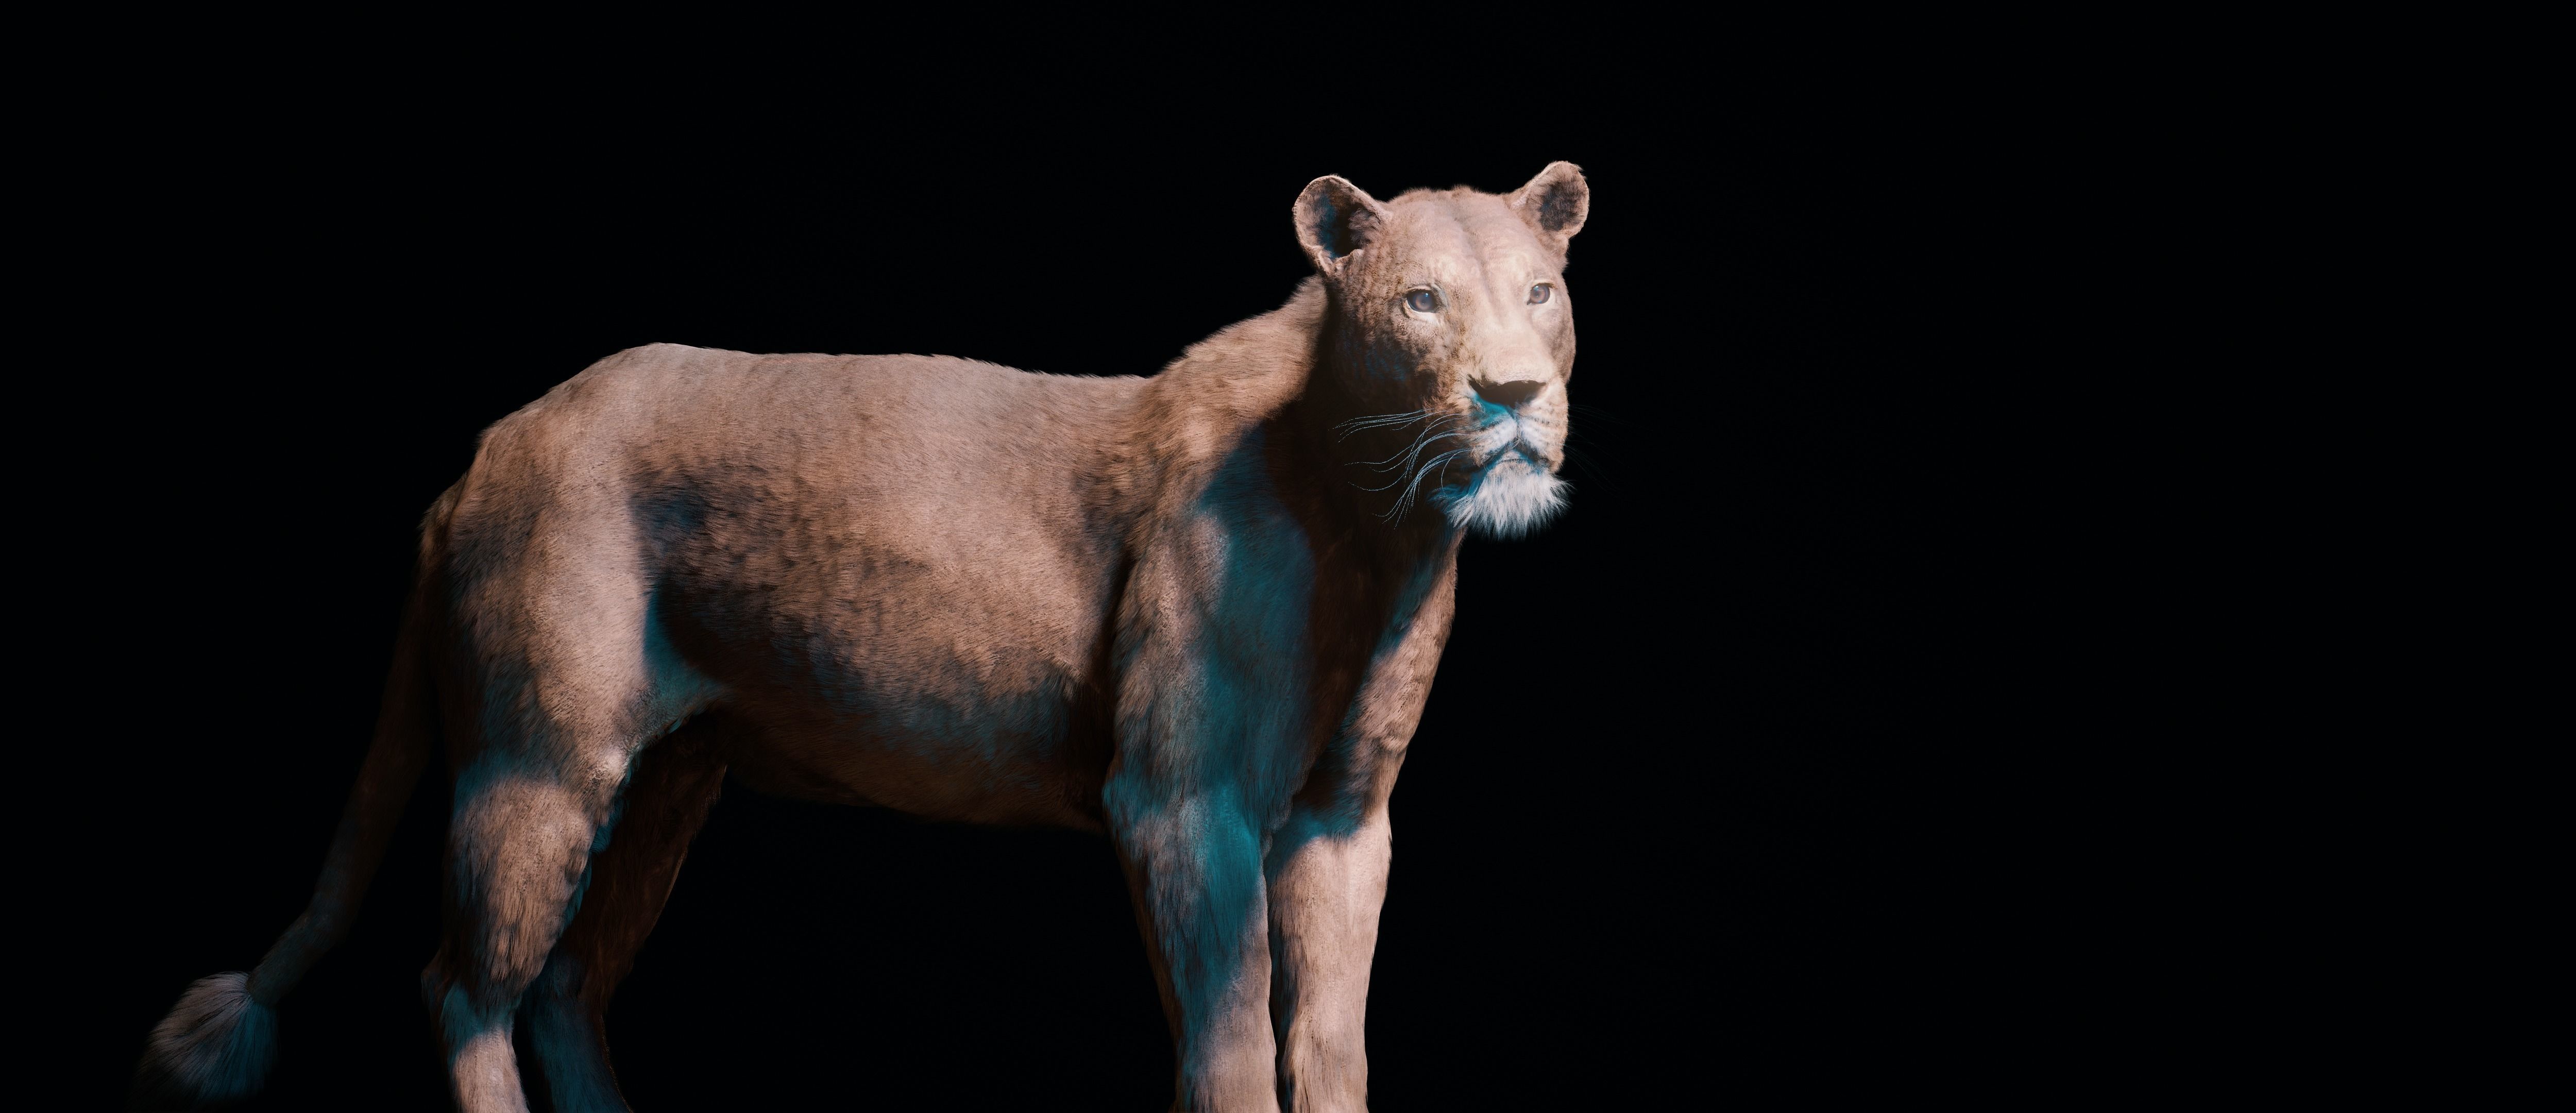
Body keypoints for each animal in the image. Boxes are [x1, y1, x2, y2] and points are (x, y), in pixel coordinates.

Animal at [134, 162, 1590, 1113]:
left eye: (1539, 292)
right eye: (1419, 302)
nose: (1514, 393)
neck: (1383, 522)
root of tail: (485, 452)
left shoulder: (1343, 818)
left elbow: (1329, 1044)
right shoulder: (1184, 800)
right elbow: (1229, 1045)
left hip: (669, 782)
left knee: (564, 989)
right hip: (540, 761)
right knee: (465, 987)